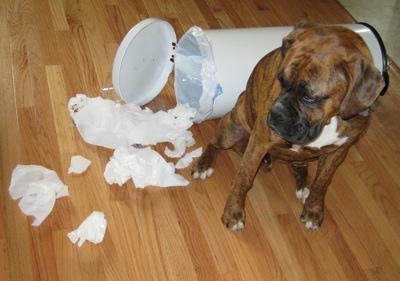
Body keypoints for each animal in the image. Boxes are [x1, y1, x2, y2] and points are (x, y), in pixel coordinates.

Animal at [192, 19, 386, 230]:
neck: (330, 119)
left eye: (309, 97)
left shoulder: (339, 151)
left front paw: (313, 210)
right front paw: (234, 212)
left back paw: (301, 185)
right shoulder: (260, 142)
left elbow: (322, 182)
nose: (275, 114)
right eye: (281, 81)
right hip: (232, 129)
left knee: (300, 164)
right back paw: (204, 164)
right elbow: (244, 178)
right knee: (215, 143)